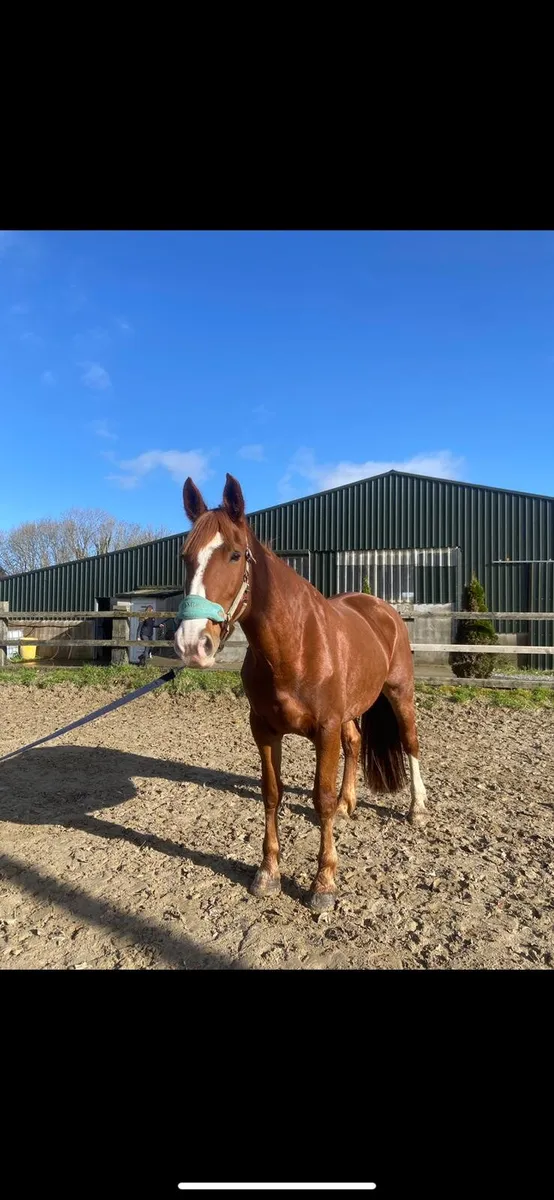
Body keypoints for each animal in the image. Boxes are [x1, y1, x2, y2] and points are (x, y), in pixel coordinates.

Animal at [174, 472, 429, 911]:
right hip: (350, 712)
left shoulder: (324, 730)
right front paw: (267, 873)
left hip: (400, 694)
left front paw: (323, 883)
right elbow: (272, 793)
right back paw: (348, 803)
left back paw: (416, 809)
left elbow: (320, 797)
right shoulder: (264, 730)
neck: (294, 645)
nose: (193, 644)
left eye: (235, 555)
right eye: (186, 557)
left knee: (410, 742)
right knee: (355, 743)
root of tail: (383, 610)